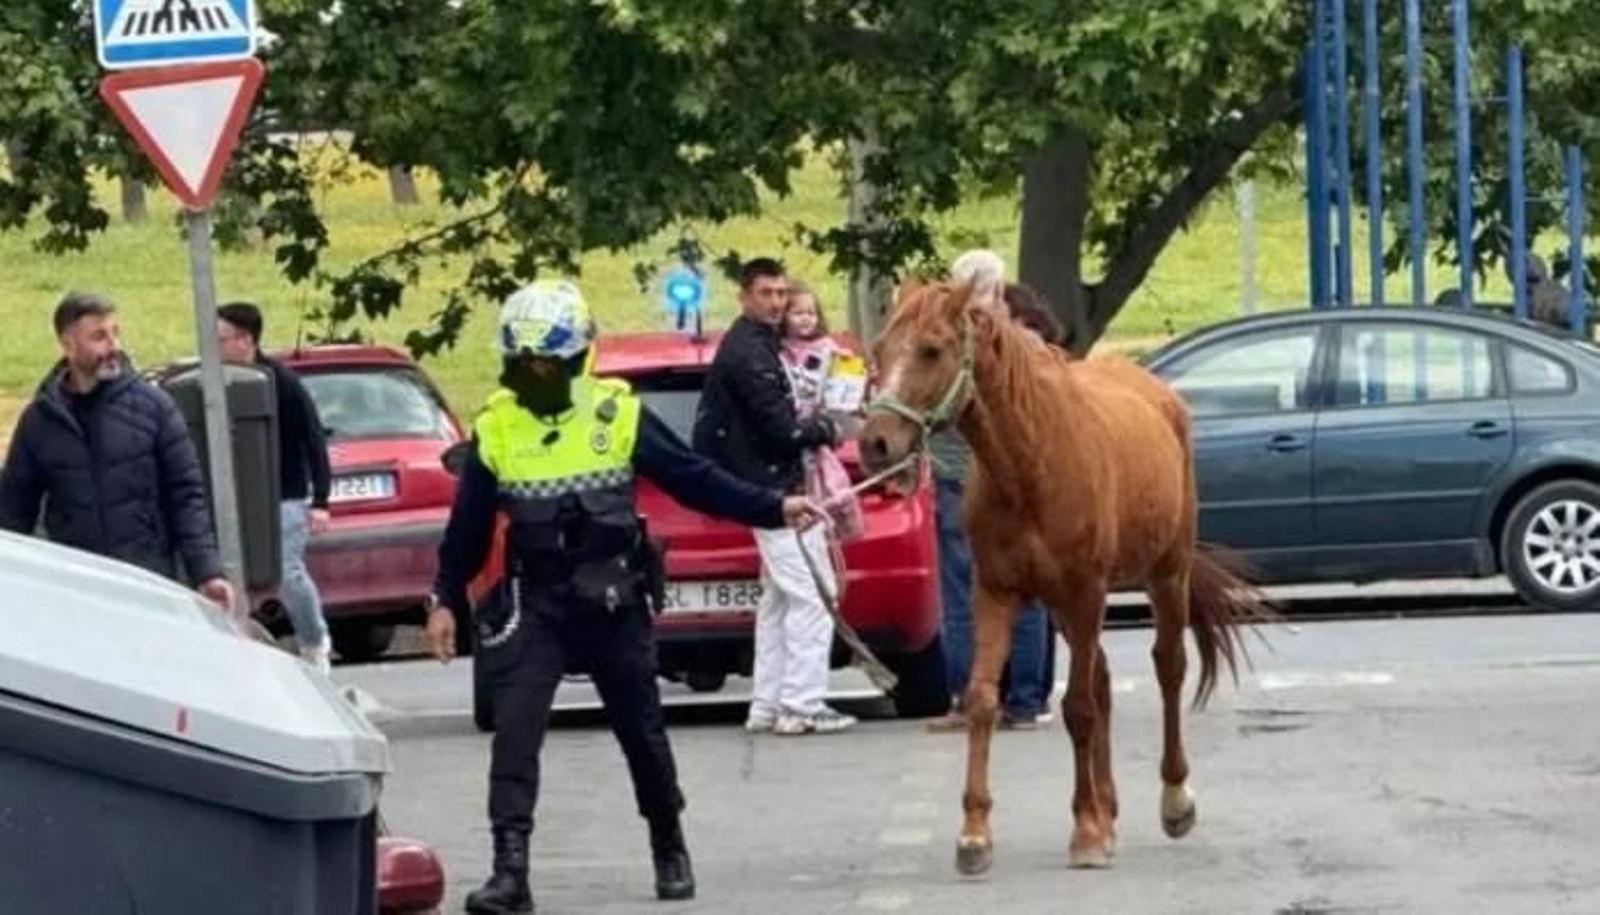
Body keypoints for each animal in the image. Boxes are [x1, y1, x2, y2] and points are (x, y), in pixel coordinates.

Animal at [859, 279, 1274, 874]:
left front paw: (1085, 831)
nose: (875, 444)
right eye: (879, 349)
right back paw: (1110, 810)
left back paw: (1173, 800)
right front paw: (976, 833)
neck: (1031, 463)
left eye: (932, 350)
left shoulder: (1086, 591)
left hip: (1164, 575)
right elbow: (984, 700)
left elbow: (1078, 707)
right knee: (1100, 679)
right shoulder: (997, 591)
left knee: (1168, 668)